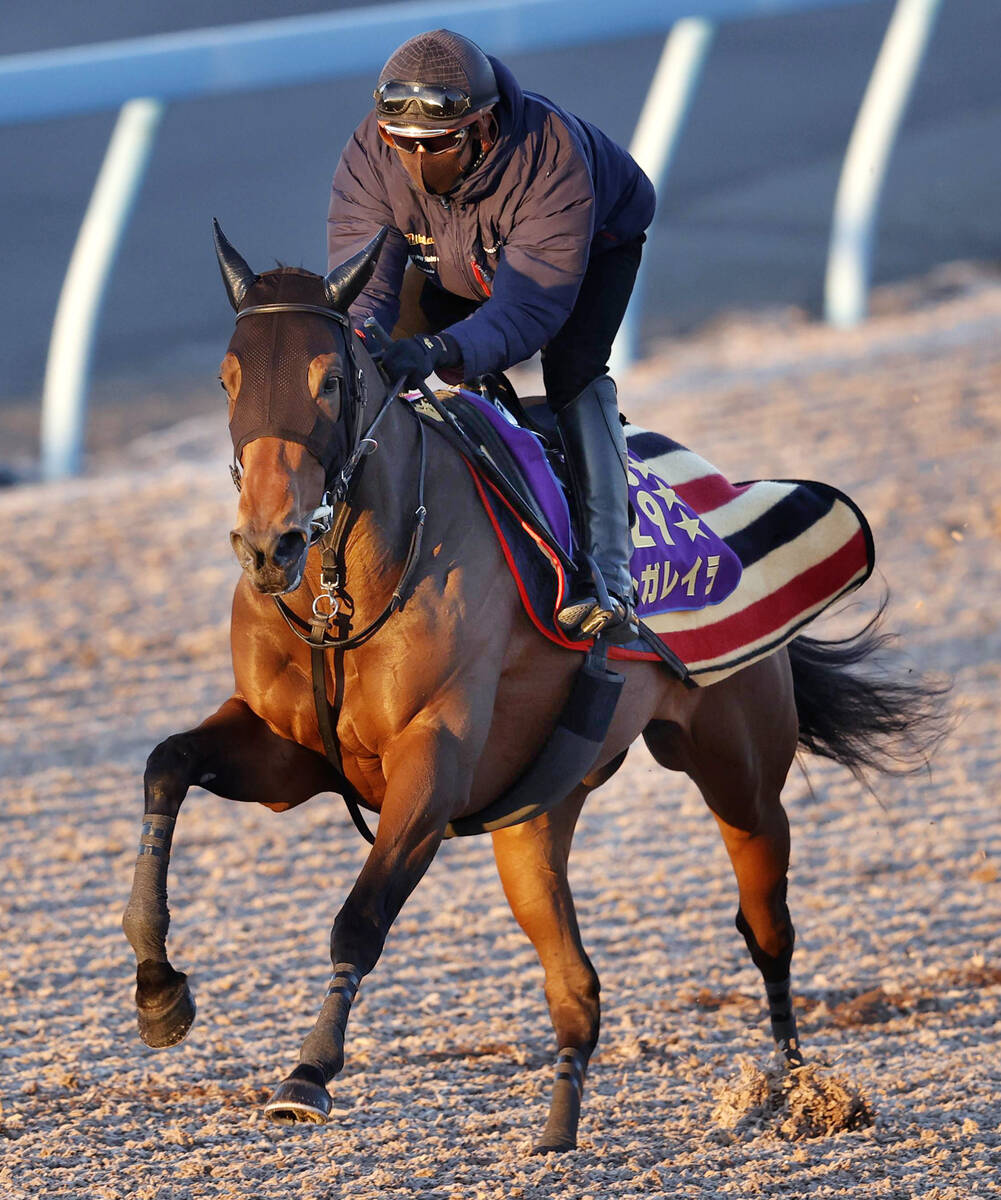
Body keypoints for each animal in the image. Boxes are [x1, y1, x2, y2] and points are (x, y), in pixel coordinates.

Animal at [122, 225, 938, 1152]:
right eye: (227, 379)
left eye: (328, 379)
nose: (269, 544)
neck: (345, 591)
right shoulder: (293, 755)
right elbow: (166, 763)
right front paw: (158, 989)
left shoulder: (431, 766)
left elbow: (360, 916)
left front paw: (308, 1072)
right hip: (534, 819)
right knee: (576, 988)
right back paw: (556, 1136)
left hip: (739, 771)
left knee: (765, 926)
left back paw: (802, 1089)